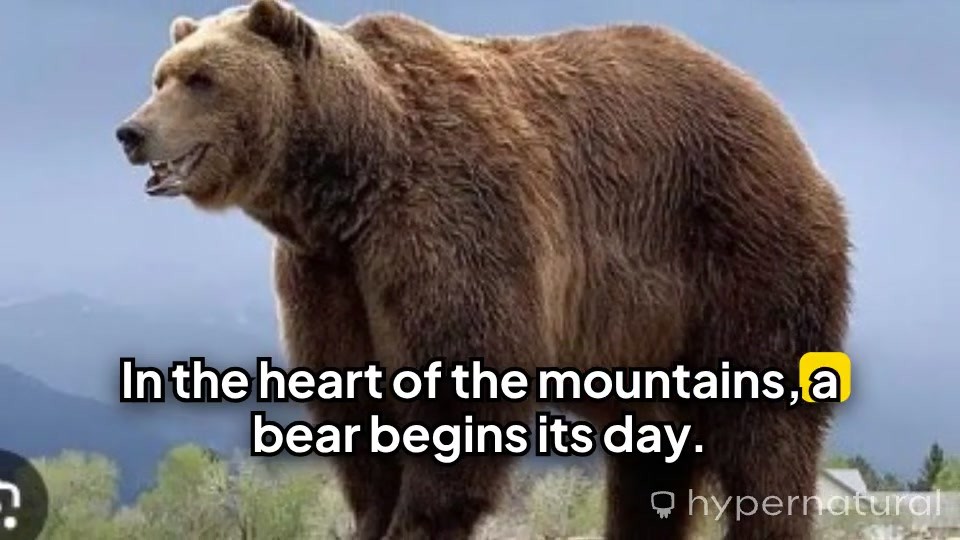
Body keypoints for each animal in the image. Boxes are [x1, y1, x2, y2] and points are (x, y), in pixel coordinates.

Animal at [116, 1, 851, 539]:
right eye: (161, 75)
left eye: (201, 79)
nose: (131, 131)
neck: (348, 183)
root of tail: (781, 122)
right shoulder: (329, 275)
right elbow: (355, 406)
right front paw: (373, 517)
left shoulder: (452, 224)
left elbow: (461, 389)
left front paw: (417, 522)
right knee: (650, 461)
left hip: (743, 255)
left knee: (766, 432)